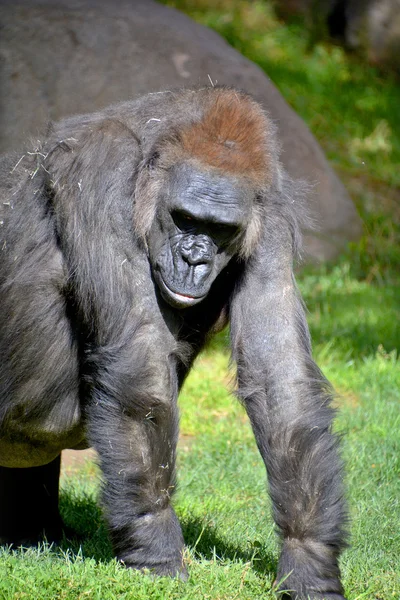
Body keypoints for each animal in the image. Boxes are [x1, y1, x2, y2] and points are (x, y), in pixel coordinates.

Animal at [0, 86, 346, 596]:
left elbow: (280, 382)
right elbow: (138, 370)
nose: (194, 260)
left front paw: (309, 560)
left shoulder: (270, 217)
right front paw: (155, 543)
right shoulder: (101, 171)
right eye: (184, 219)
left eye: (220, 230)